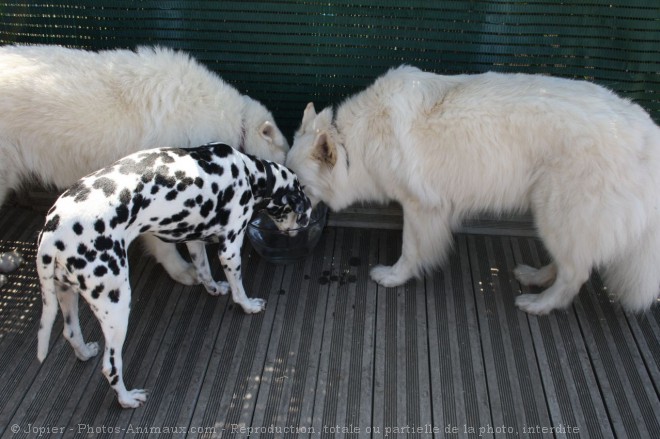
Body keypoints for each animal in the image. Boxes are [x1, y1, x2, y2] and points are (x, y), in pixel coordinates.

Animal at [36, 142, 312, 410]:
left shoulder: (194, 239)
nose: (306, 222)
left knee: (71, 333)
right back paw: (127, 399)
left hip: (66, 295)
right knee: (111, 366)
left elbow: (204, 271)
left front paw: (214, 288)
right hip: (115, 306)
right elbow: (239, 289)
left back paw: (84, 352)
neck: (249, 173)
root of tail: (51, 235)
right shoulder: (230, 248)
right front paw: (249, 305)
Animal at [288, 63, 660, 314]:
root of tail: (649, 133)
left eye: (299, 186)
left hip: (557, 213)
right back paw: (536, 277)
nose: (283, 226)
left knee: (576, 273)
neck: (352, 143)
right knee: (570, 263)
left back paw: (540, 304)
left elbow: (410, 250)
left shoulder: (421, 208)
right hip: (557, 220)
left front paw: (394, 276)